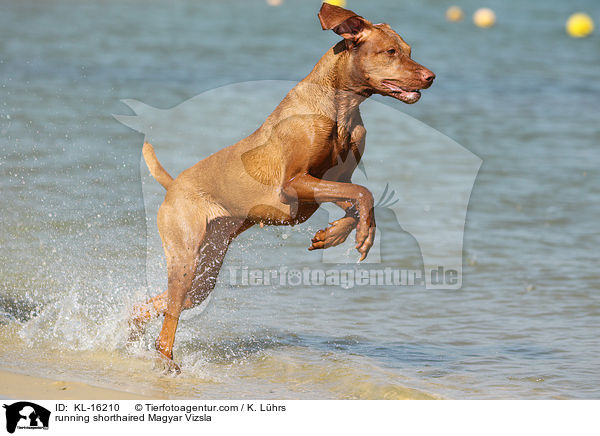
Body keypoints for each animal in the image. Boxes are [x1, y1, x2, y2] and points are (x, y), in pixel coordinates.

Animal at [131, 2, 434, 372]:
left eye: (409, 50)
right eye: (390, 52)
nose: (431, 76)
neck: (341, 109)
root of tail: (174, 185)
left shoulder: (334, 181)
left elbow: (357, 200)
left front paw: (333, 235)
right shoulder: (294, 183)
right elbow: (365, 194)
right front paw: (365, 236)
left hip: (206, 271)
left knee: (147, 307)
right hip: (185, 258)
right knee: (169, 320)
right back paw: (166, 361)